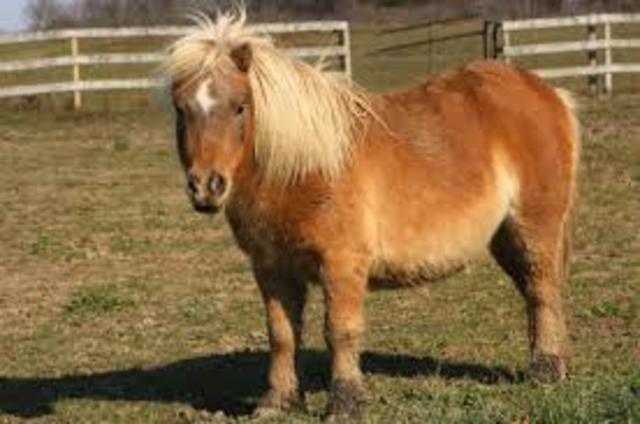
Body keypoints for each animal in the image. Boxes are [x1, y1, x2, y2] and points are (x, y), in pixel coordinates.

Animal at [163, 8, 580, 420]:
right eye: (181, 110)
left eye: (239, 107)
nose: (206, 186)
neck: (303, 168)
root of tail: (547, 92)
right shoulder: (271, 268)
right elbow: (281, 334)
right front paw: (277, 402)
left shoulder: (341, 263)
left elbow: (340, 331)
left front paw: (344, 403)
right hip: (504, 237)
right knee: (534, 292)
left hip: (535, 227)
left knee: (542, 288)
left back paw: (545, 370)